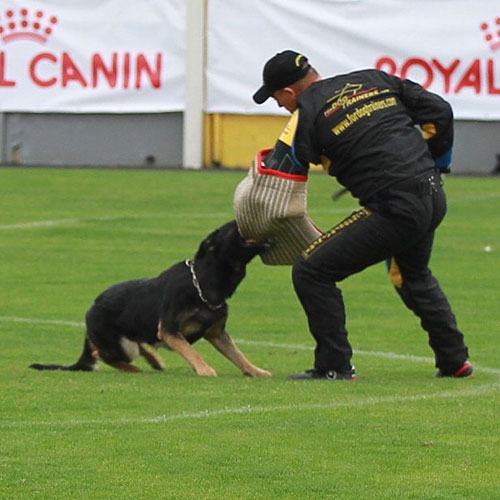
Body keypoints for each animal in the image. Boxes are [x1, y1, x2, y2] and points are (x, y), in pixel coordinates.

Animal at [30, 221, 274, 376]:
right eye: (233, 226)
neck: (204, 281)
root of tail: (91, 308)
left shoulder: (217, 333)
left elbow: (238, 355)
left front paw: (255, 371)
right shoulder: (169, 330)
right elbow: (192, 351)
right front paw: (204, 369)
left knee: (138, 344)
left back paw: (155, 360)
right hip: (122, 345)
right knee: (101, 353)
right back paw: (133, 368)